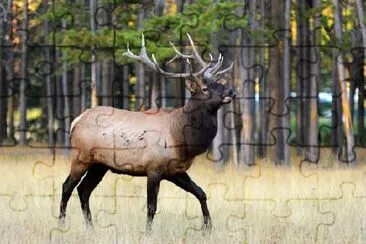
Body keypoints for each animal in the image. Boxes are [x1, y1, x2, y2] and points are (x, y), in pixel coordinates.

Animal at [58, 33, 236, 233]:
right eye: (205, 89)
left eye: (218, 84)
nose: (232, 91)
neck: (182, 140)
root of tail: (76, 121)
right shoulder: (153, 168)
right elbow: (152, 207)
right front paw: (148, 233)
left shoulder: (175, 170)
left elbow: (201, 193)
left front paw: (209, 227)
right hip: (80, 157)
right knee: (67, 186)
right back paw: (61, 224)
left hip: (99, 164)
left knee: (83, 190)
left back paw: (91, 227)